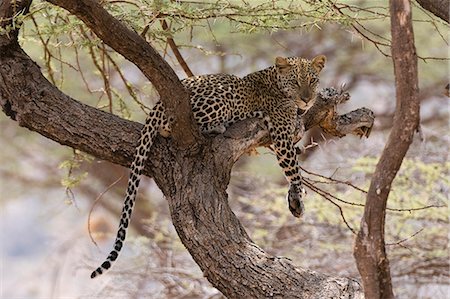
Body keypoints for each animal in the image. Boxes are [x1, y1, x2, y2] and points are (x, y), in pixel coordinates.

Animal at [89, 55, 326, 280]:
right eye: (295, 82)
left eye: (313, 81)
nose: (307, 99)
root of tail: (157, 105)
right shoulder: (281, 132)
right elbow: (292, 167)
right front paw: (298, 195)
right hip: (222, 96)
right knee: (178, 127)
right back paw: (221, 125)